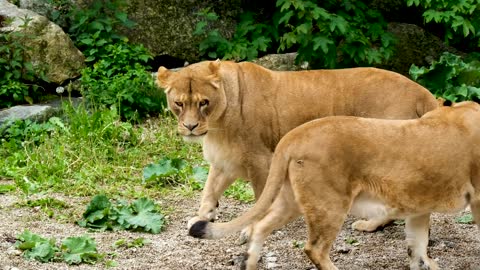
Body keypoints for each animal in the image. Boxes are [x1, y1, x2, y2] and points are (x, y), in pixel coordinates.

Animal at [158, 60, 438, 235]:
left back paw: (374, 225)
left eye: (203, 102)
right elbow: (209, 191)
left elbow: (260, 199)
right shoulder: (226, 159)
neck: (218, 123)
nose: (190, 127)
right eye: (179, 103)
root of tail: (421, 91)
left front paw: (251, 228)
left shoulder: (260, 159)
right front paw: (201, 218)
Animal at [191, 102, 480, 270]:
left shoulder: (418, 206)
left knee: (261, 225)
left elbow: (417, 247)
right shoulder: (477, 199)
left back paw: (248, 263)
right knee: (315, 248)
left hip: (292, 200)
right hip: (330, 203)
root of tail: (293, 136)